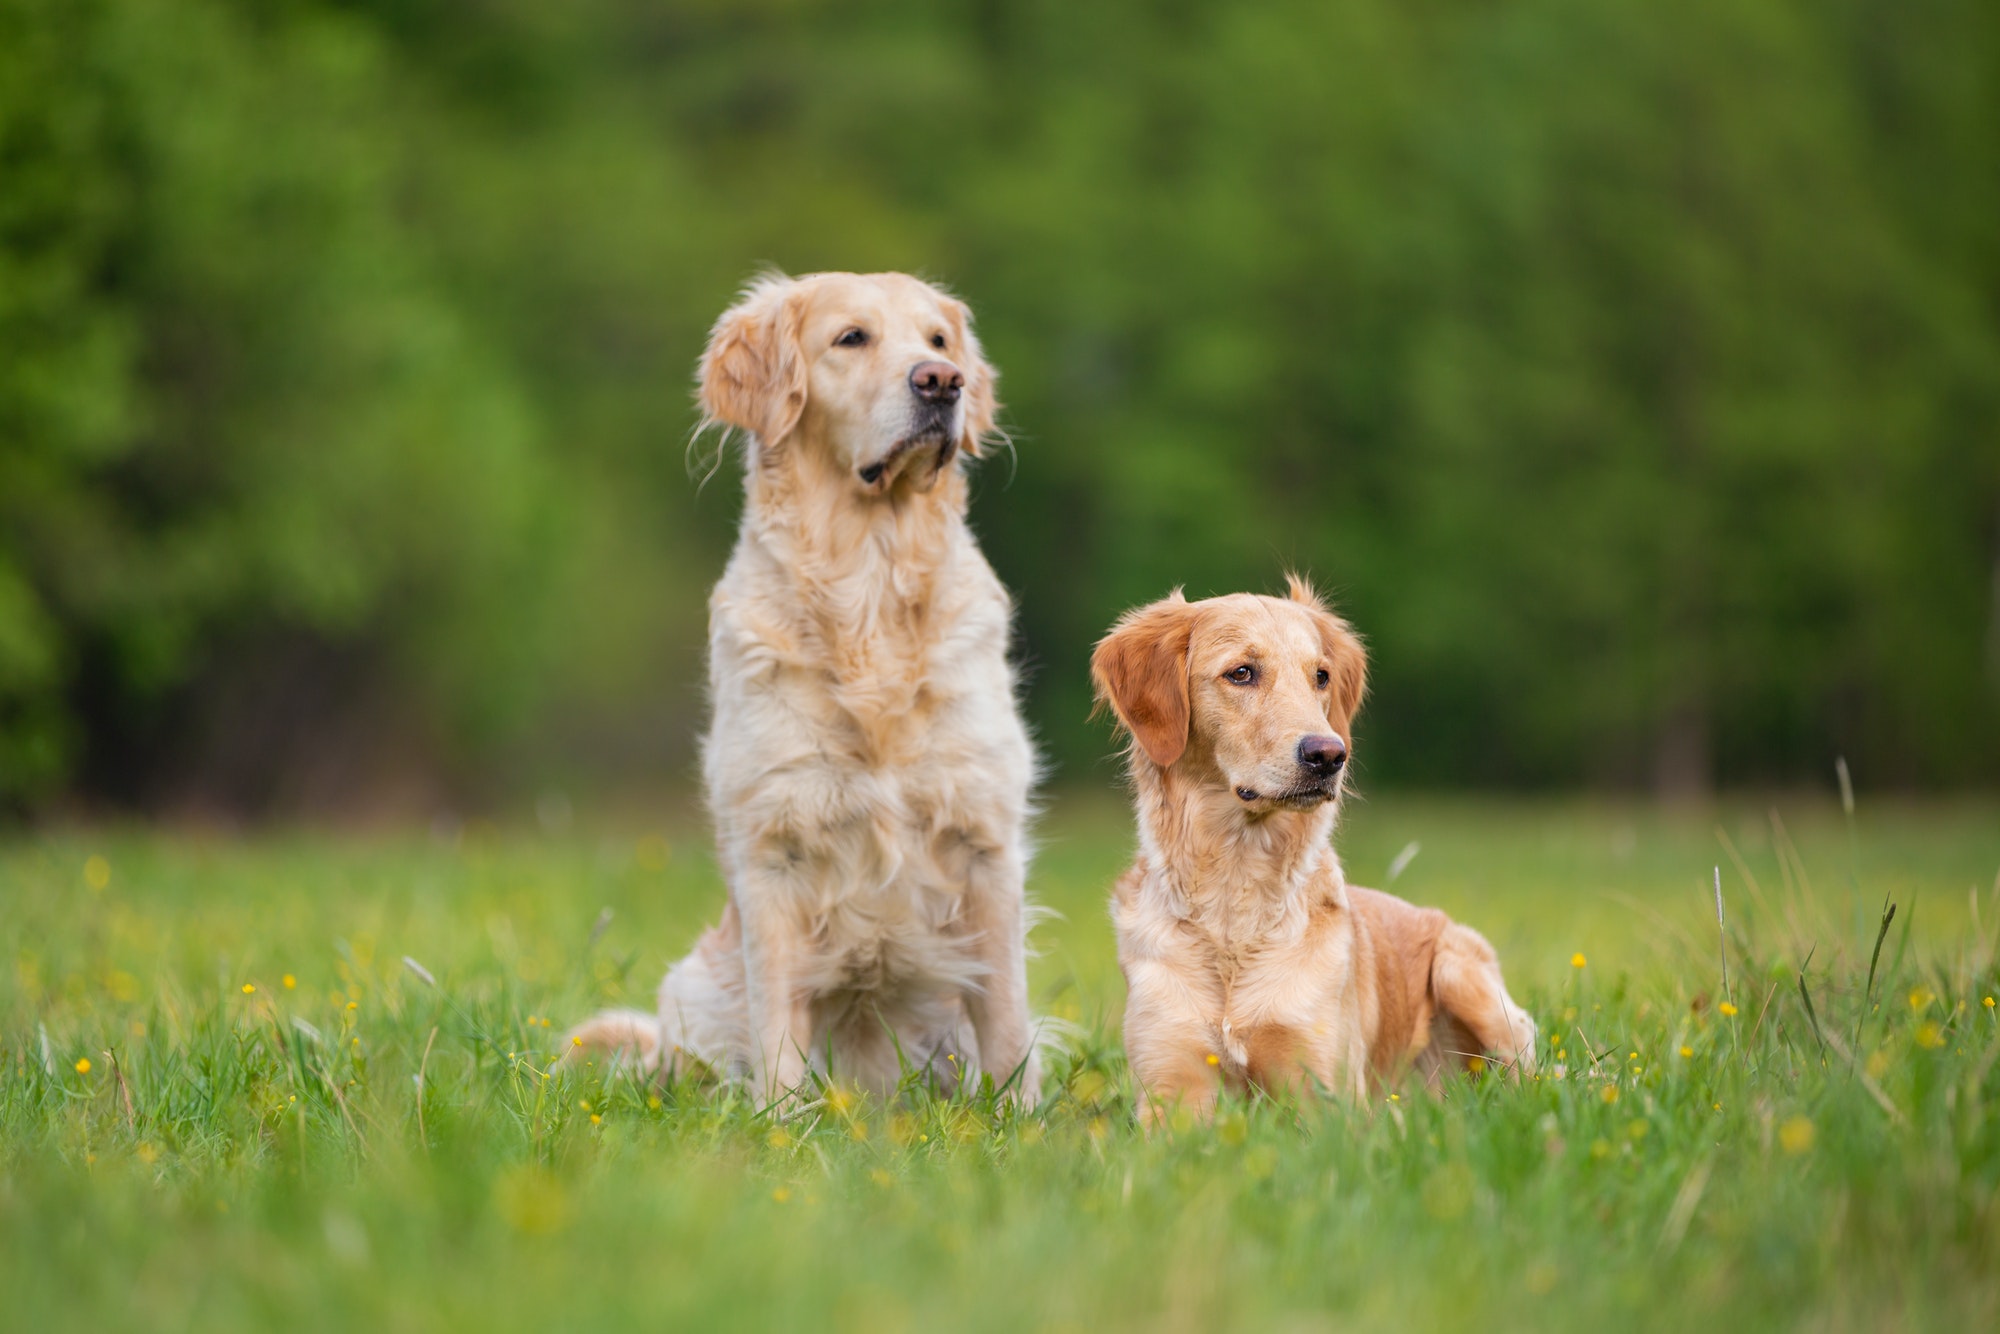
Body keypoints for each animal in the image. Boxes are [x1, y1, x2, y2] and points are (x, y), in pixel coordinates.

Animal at [564, 274, 1032, 1104]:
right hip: (692, 990)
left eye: (939, 341)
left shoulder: (986, 834)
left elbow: (1006, 1011)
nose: (943, 383)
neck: (870, 580)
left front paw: (1023, 1115)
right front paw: (783, 1120)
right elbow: (780, 1014)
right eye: (852, 338)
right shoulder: (772, 842)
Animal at [1096, 580, 1528, 1120]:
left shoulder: (1325, 1095)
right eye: (1241, 672)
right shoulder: (1170, 1089)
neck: (1234, 889)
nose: (1328, 755)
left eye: (1320, 676)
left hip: (1464, 974)